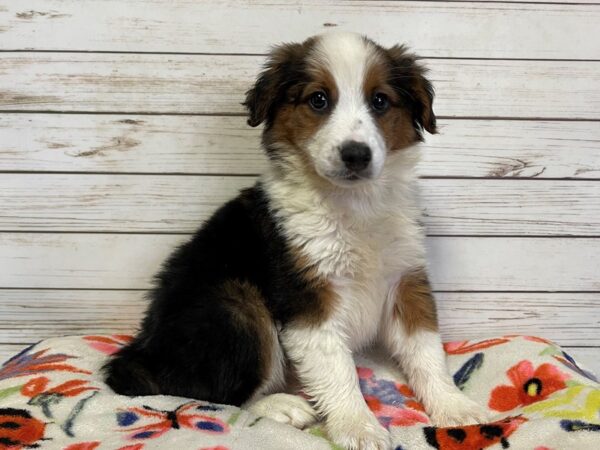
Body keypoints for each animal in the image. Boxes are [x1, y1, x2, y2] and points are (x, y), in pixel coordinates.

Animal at [103, 32, 488, 450]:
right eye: (318, 99)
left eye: (380, 101)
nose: (356, 155)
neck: (354, 203)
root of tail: (141, 351)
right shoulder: (307, 297)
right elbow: (338, 369)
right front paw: (359, 426)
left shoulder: (406, 279)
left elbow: (426, 350)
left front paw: (454, 406)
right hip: (236, 302)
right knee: (208, 393)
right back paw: (280, 405)